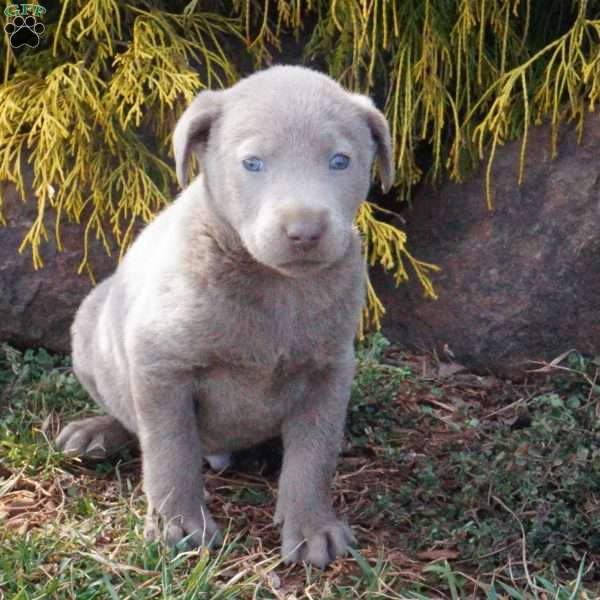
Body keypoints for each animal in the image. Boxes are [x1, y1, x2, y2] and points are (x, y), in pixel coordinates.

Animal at [55, 65, 394, 568]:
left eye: (340, 161)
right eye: (252, 163)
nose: (305, 232)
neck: (274, 286)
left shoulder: (330, 370)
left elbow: (314, 455)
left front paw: (312, 527)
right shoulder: (160, 363)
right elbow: (170, 447)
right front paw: (178, 526)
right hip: (91, 329)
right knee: (131, 417)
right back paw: (95, 433)